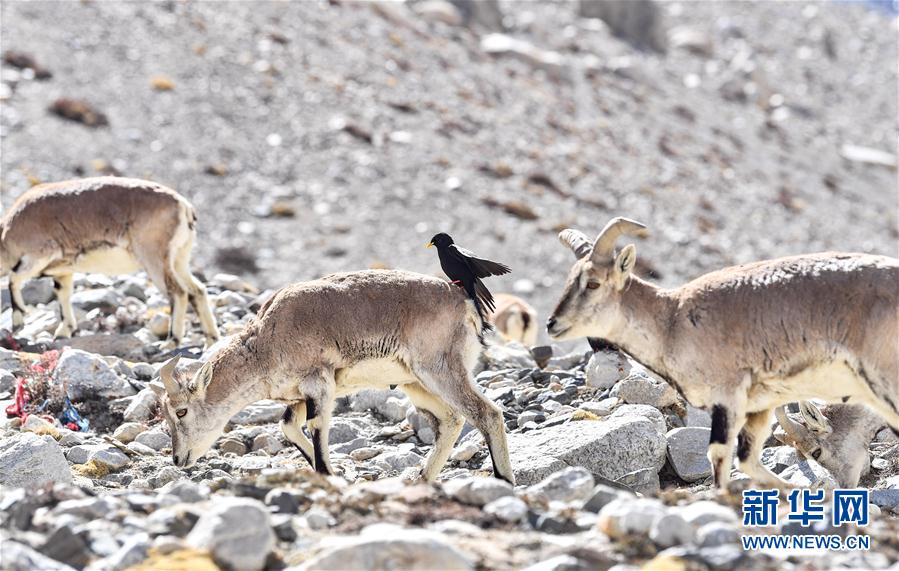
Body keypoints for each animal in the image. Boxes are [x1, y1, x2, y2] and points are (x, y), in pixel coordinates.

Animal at [1, 177, 219, 345]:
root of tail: (184, 207)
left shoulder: (39, 254)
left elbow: (13, 279)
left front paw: (18, 321)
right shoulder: (63, 271)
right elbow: (63, 295)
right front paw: (64, 332)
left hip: (154, 259)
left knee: (179, 292)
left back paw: (171, 341)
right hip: (178, 261)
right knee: (197, 291)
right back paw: (211, 341)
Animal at [150, 269, 515, 484]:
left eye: (181, 411)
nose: (178, 458)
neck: (268, 340)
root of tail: (464, 302)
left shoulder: (319, 384)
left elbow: (316, 427)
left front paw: (329, 473)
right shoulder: (302, 395)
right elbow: (288, 426)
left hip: (440, 370)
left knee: (487, 413)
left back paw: (503, 482)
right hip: (416, 383)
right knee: (453, 419)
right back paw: (422, 479)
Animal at [547, 217, 898, 491]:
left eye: (593, 283)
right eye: (568, 280)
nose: (552, 324)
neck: (672, 319)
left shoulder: (727, 394)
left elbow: (718, 455)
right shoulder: (752, 405)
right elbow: (743, 460)